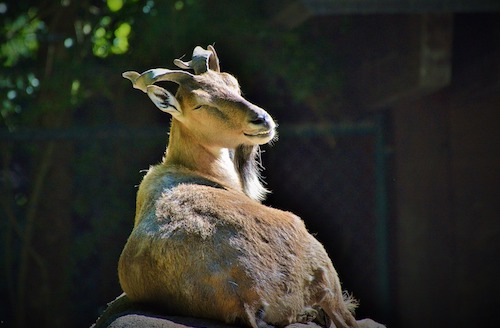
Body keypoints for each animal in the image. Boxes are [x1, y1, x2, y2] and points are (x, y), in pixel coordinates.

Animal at [119, 44, 384, 328]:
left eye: (232, 83)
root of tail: (246, 298)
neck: (190, 169)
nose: (261, 119)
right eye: (200, 104)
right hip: (321, 266)